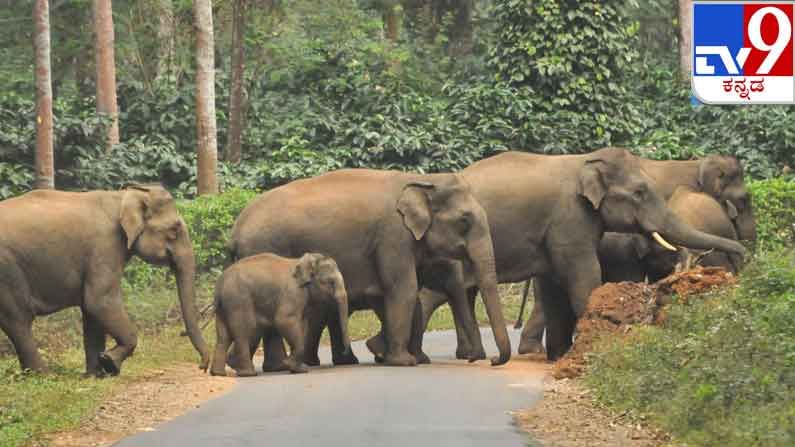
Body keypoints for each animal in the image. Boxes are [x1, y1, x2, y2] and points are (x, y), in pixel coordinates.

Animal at [0, 184, 211, 376]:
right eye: (175, 229)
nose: (202, 367)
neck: (124, 196)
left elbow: (91, 310)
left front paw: (95, 375)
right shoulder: (105, 245)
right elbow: (99, 301)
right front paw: (110, 363)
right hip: (7, 270)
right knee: (19, 321)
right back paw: (44, 375)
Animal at [210, 254, 350, 376]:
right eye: (330, 282)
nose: (344, 352)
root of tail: (219, 287)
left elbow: (303, 326)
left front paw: (299, 369)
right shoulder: (293, 292)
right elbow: (284, 320)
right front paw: (289, 364)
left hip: (224, 308)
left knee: (224, 337)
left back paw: (219, 373)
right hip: (238, 300)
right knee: (246, 330)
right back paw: (248, 374)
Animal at [227, 170, 512, 370]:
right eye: (464, 220)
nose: (486, 359)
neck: (422, 179)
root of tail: (235, 231)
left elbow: (408, 296)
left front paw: (408, 357)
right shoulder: (392, 237)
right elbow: (404, 288)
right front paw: (403, 361)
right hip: (263, 248)